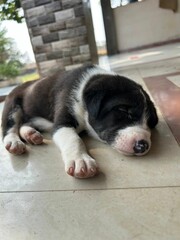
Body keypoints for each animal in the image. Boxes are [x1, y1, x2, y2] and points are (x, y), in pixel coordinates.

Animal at [1, 64, 159, 177]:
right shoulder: (62, 122)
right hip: (12, 106)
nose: (143, 145)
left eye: (149, 122)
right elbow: (73, 139)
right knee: (10, 127)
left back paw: (31, 135)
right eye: (124, 111)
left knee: (24, 124)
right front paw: (80, 161)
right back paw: (14, 142)